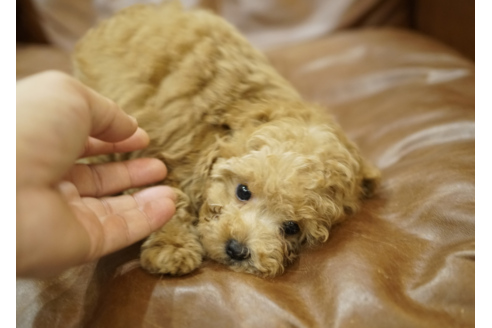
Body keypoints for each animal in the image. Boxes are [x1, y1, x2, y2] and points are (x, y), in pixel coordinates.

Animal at [74, 2, 380, 276]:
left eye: (292, 227)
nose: (237, 250)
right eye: (242, 191)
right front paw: (173, 248)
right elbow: (167, 199)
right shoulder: (158, 154)